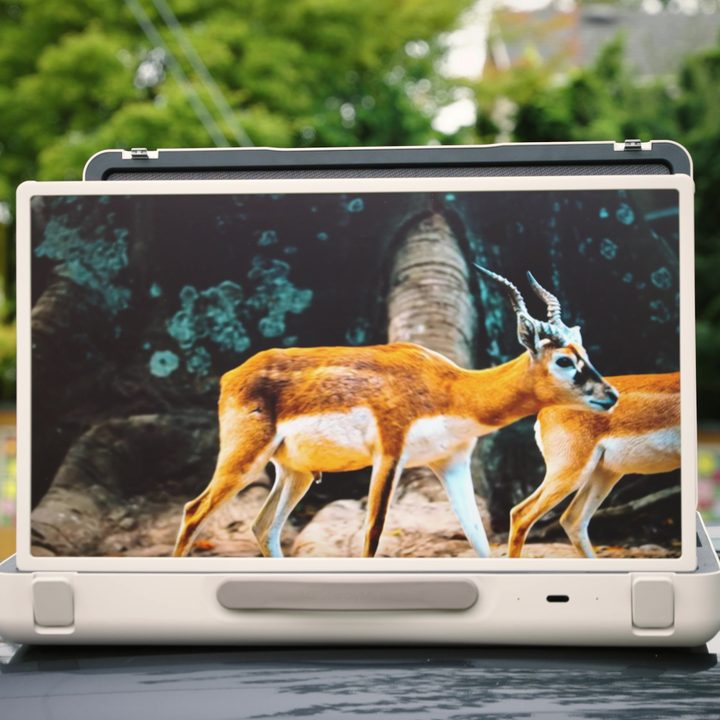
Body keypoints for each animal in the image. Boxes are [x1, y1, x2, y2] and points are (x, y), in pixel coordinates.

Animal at [172, 265, 619, 559]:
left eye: (584, 351)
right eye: (564, 360)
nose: (611, 395)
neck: (451, 388)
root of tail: (233, 374)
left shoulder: (451, 464)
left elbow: (477, 537)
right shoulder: (390, 454)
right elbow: (373, 534)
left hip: (296, 472)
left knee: (264, 528)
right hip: (245, 459)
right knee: (194, 511)